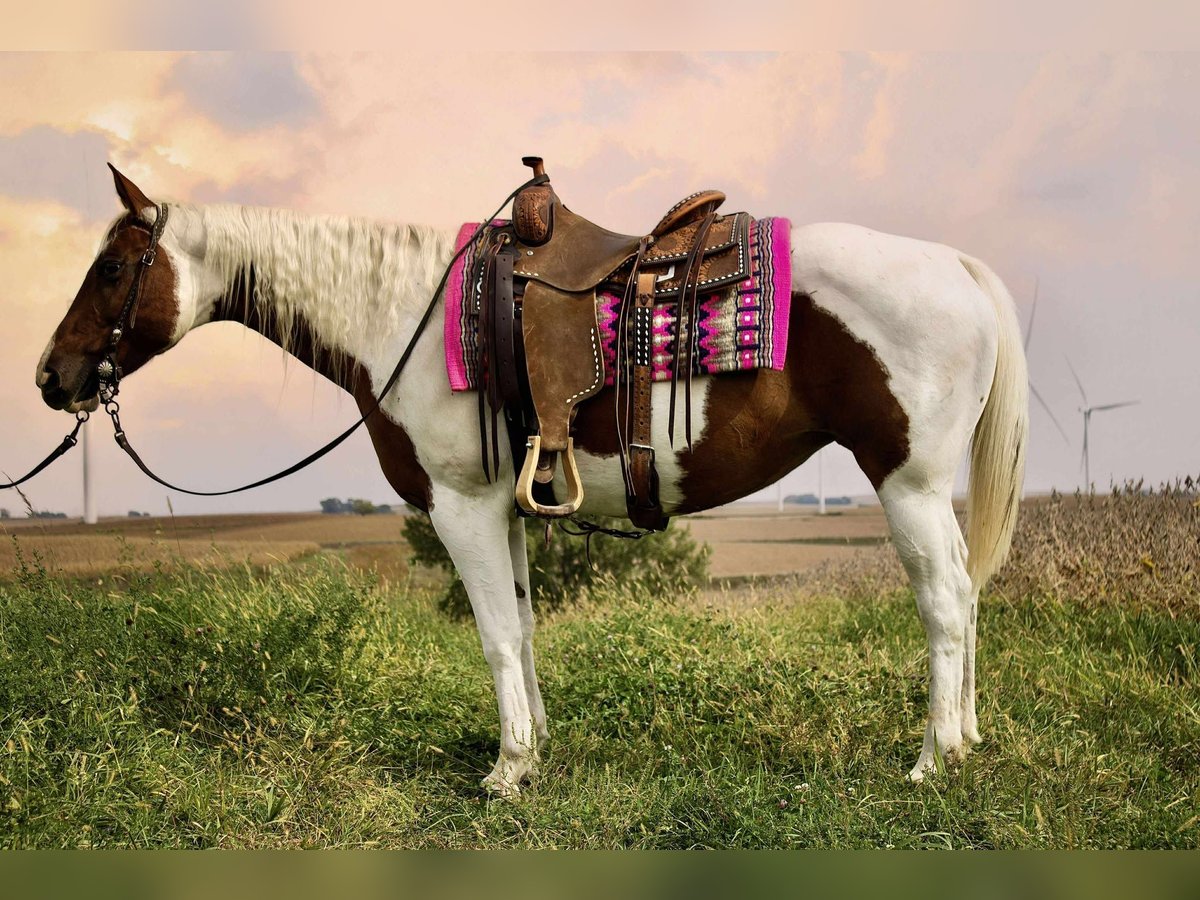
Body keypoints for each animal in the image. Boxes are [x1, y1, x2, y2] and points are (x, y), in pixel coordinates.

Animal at [36, 166, 1028, 795]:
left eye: (113, 267)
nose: (52, 376)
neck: (403, 315)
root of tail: (960, 268)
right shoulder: (505, 508)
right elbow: (522, 624)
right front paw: (538, 745)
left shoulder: (462, 508)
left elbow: (496, 637)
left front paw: (507, 771)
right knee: (968, 597)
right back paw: (969, 741)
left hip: (906, 483)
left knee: (945, 605)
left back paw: (934, 758)